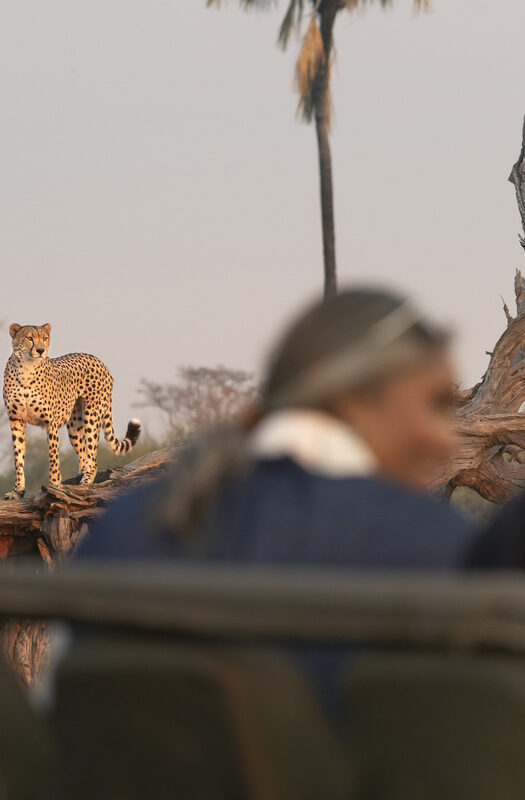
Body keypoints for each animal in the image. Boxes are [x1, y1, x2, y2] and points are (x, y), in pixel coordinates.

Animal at [2, 322, 141, 496]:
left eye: (45, 338)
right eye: (29, 338)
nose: (40, 350)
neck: (26, 369)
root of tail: (98, 360)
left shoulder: (50, 422)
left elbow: (53, 457)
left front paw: (55, 485)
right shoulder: (16, 419)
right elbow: (18, 457)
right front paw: (17, 490)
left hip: (92, 415)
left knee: (92, 455)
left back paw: (86, 481)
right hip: (75, 426)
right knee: (83, 452)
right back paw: (80, 475)